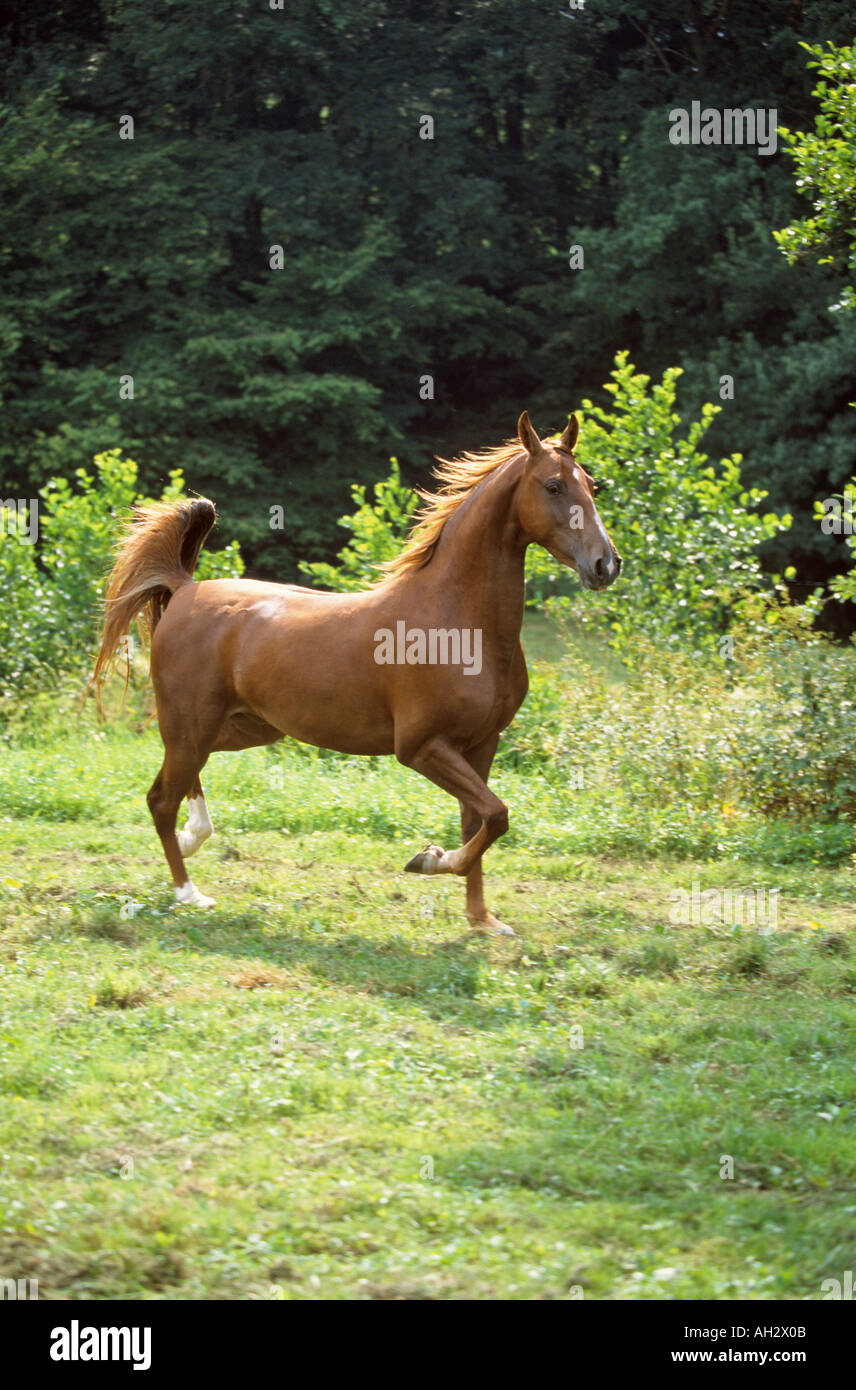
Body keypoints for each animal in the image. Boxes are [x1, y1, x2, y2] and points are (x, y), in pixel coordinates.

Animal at [95, 408, 622, 934]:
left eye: (592, 485)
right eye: (553, 486)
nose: (606, 564)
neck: (459, 622)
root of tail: (185, 588)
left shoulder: (482, 743)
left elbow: (478, 820)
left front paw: (482, 920)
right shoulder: (421, 747)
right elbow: (496, 815)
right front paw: (429, 860)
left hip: (240, 727)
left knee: (178, 783)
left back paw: (192, 838)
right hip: (193, 724)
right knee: (161, 798)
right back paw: (189, 892)